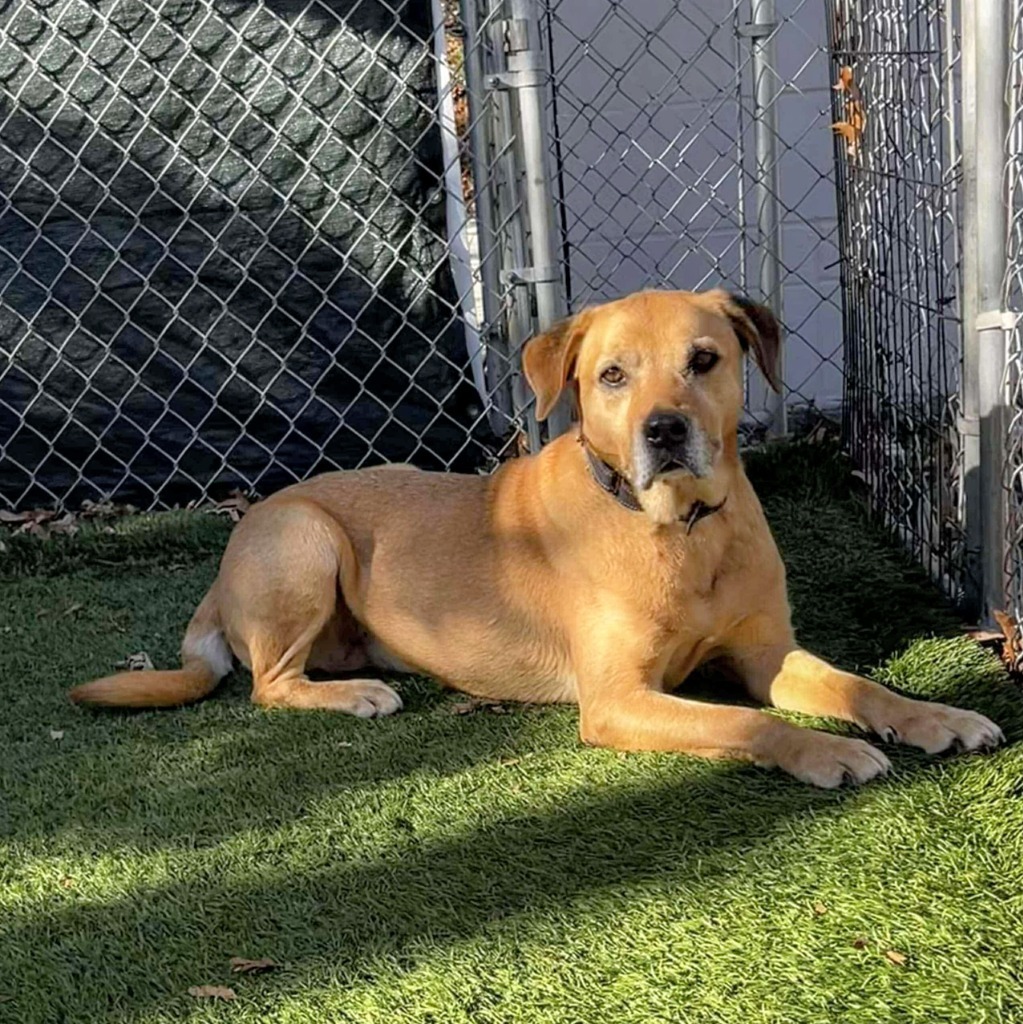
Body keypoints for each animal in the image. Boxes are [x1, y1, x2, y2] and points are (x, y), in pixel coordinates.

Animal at [74, 292, 1007, 786]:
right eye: (611, 375)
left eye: (704, 360)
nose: (664, 431)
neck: (677, 531)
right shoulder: (618, 700)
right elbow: (746, 725)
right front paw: (824, 750)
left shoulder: (764, 653)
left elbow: (860, 685)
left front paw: (933, 717)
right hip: (304, 538)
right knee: (269, 684)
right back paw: (356, 694)